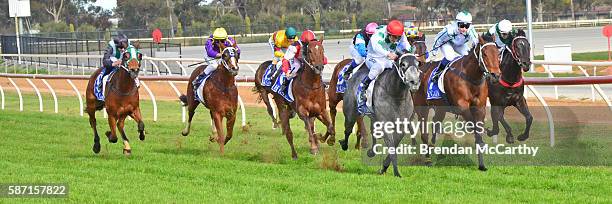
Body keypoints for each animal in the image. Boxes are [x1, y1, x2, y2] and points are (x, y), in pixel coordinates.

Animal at [412, 33, 502, 171]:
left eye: (497, 53)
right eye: (485, 54)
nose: (496, 75)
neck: (471, 77)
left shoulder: (479, 107)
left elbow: (478, 129)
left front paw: (482, 164)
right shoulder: (462, 107)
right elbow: (473, 126)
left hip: (440, 108)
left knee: (435, 123)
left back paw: (433, 148)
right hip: (421, 107)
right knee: (424, 132)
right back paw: (427, 159)